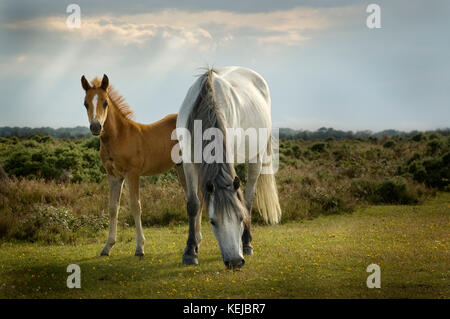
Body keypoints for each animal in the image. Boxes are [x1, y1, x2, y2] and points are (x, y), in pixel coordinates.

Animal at [176, 67, 282, 270]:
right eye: (212, 221)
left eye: (240, 218)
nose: (235, 261)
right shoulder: (188, 162)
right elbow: (194, 204)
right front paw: (190, 251)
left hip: (256, 158)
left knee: (248, 198)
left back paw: (247, 244)